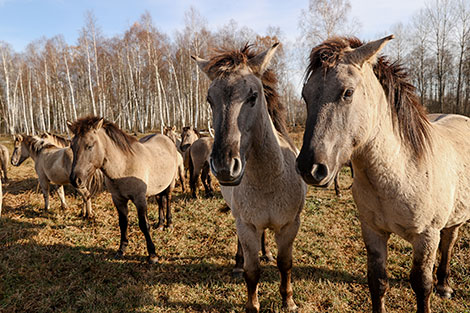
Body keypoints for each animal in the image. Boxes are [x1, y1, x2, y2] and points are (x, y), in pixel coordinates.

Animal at [68, 116, 180, 262]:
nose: (75, 180)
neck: (123, 167)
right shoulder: (118, 199)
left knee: (168, 200)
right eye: (72, 146)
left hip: (170, 185)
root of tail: (167, 139)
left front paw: (152, 254)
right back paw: (160, 224)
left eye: (90, 146)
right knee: (160, 200)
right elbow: (123, 223)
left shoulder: (140, 199)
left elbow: (144, 225)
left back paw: (169, 224)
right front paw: (121, 250)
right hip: (158, 188)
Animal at [193, 42, 306, 310]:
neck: (269, 180)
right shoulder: (246, 226)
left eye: (253, 96)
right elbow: (252, 271)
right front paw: (252, 306)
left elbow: (285, 265)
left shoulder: (289, 226)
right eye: (209, 99)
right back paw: (237, 263)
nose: (224, 166)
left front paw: (288, 301)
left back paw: (267, 253)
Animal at [296, 34, 470, 312]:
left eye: (347, 92)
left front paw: (433, 287)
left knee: (449, 241)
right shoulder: (373, 231)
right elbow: (377, 282)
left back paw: (443, 285)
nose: (309, 168)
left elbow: (422, 286)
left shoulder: (426, 237)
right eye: (305, 95)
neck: (401, 172)